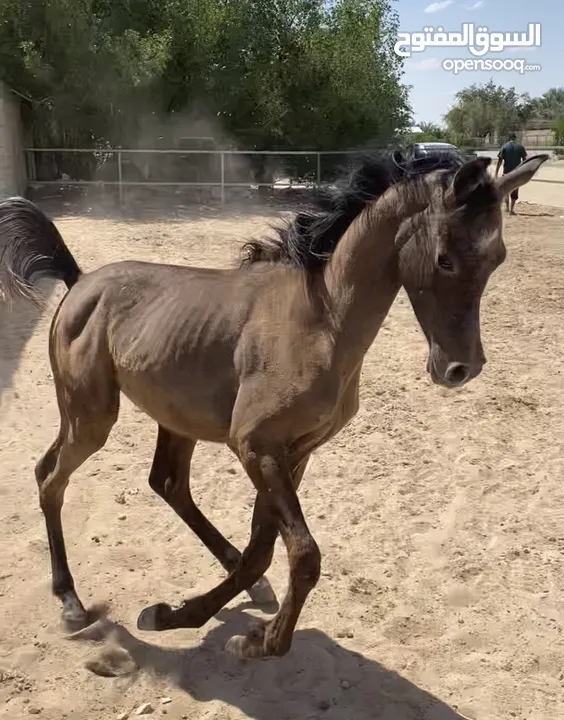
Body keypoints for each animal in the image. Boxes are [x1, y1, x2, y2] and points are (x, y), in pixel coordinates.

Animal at [0, 148, 548, 660]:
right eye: (444, 259)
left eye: (498, 258)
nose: (461, 369)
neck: (320, 322)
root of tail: (80, 281)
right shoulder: (256, 448)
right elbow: (303, 554)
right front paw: (260, 641)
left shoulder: (296, 453)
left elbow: (262, 550)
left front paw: (187, 616)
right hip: (90, 416)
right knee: (52, 479)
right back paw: (71, 602)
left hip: (174, 417)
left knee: (163, 483)